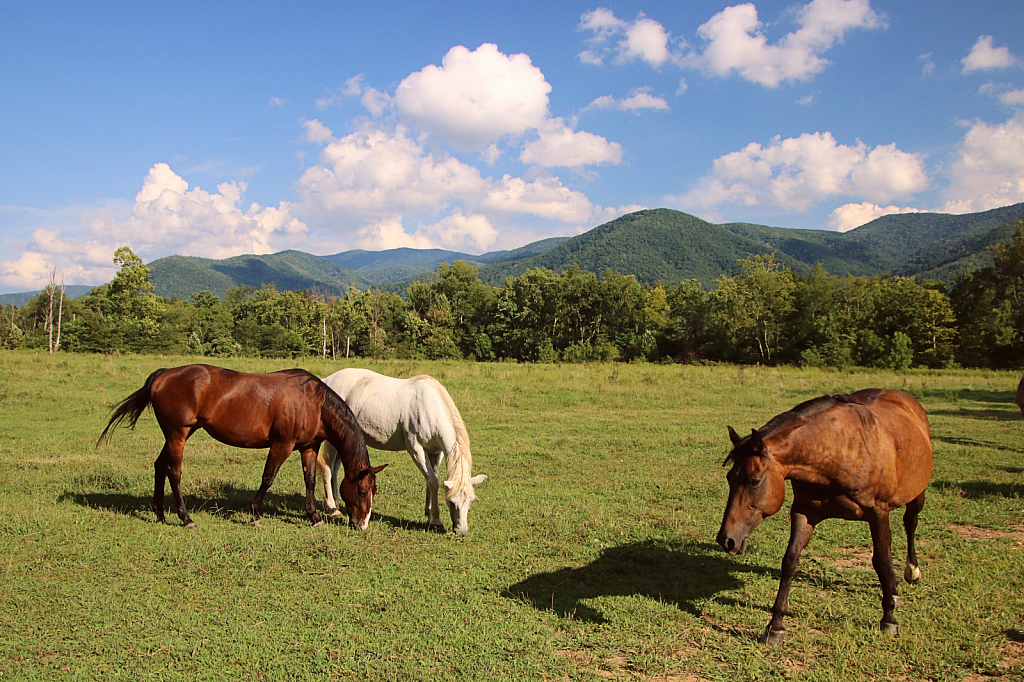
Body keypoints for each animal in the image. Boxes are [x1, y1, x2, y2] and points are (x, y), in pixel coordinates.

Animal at [97, 364, 385, 528]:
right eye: (361, 491)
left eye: (373, 491)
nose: (361, 525)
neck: (313, 403)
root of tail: (163, 375)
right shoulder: (281, 445)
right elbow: (268, 478)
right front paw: (255, 514)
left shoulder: (308, 447)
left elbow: (310, 481)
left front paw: (314, 518)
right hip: (177, 435)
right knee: (173, 472)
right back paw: (185, 518)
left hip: (176, 435)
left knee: (159, 466)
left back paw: (160, 514)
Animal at [315, 366, 487, 532]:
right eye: (451, 502)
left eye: (470, 501)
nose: (462, 530)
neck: (430, 408)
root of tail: (326, 380)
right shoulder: (415, 448)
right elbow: (433, 482)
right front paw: (436, 522)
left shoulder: (435, 451)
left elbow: (431, 480)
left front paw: (429, 515)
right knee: (328, 468)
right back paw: (332, 508)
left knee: (336, 469)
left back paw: (337, 502)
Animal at [716, 387, 933, 643]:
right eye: (729, 478)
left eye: (754, 481)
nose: (726, 540)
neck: (839, 451)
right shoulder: (804, 512)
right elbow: (790, 561)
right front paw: (775, 626)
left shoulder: (879, 514)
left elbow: (882, 561)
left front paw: (889, 618)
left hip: (917, 494)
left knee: (910, 523)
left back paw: (911, 572)